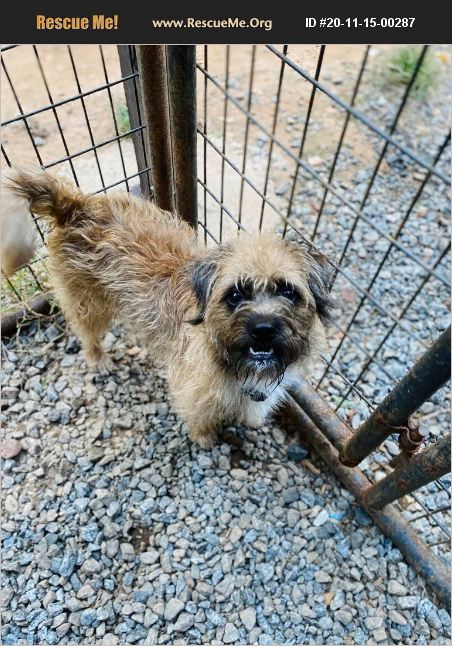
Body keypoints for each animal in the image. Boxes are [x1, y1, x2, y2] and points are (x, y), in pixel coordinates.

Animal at [7, 170, 336, 448]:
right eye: (235, 294)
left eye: (288, 291)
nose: (263, 329)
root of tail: (76, 204)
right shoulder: (194, 390)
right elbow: (200, 415)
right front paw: (204, 437)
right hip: (88, 303)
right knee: (86, 332)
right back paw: (98, 358)